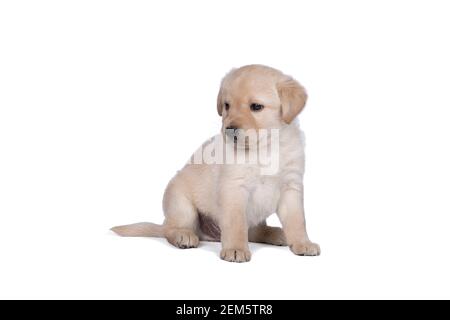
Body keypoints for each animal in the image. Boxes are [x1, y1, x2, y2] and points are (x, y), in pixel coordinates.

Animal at [112, 64, 320, 262]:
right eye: (227, 105)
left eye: (256, 107)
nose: (230, 129)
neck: (266, 148)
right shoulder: (234, 188)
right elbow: (236, 224)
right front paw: (236, 249)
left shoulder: (291, 187)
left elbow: (297, 221)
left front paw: (303, 243)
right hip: (181, 205)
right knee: (170, 229)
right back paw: (183, 235)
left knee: (254, 231)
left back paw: (276, 233)